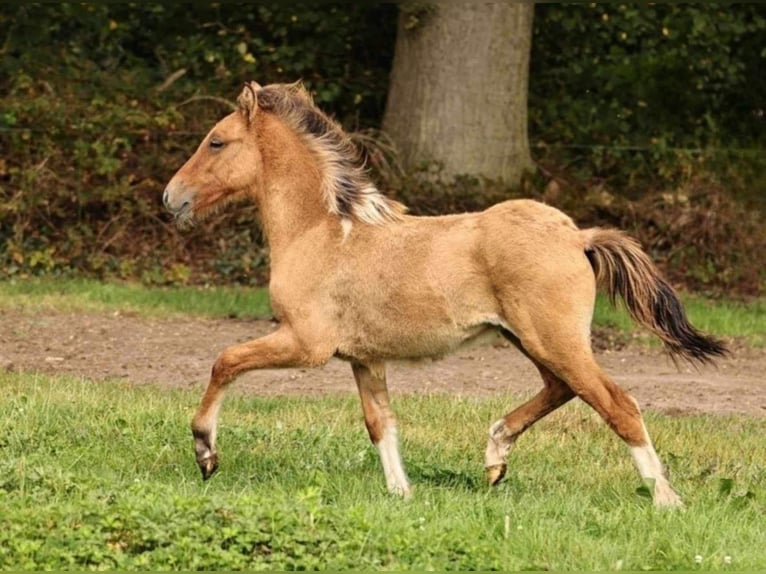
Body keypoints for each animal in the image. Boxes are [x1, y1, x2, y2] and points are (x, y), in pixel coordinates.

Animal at [163, 81, 727, 507]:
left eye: (216, 142)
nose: (171, 198)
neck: (320, 233)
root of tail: (577, 236)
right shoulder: (364, 358)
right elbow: (380, 423)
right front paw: (402, 493)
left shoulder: (306, 344)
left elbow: (225, 361)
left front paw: (206, 454)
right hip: (530, 339)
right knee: (562, 389)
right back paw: (495, 458)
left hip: (553, 340)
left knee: (618, 403)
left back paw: (666, 499)